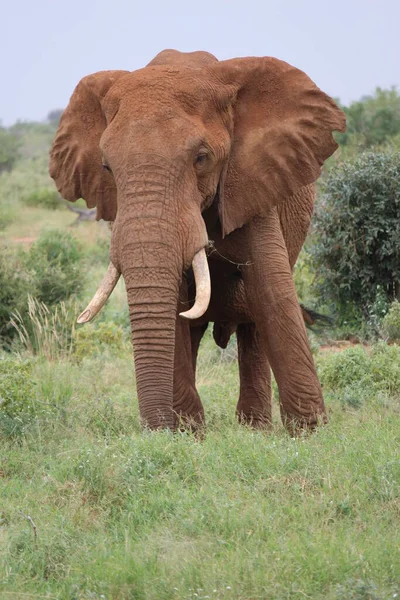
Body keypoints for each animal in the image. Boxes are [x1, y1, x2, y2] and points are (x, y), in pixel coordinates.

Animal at [48, 47, 346, 432]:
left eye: (201, 158)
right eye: (106, 167)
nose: (156, 431)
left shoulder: (252, 183)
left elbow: (273, 292)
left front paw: (310, 433)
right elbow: (174, 307)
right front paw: (187, 432)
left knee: (253, 323)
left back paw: (254, 429)